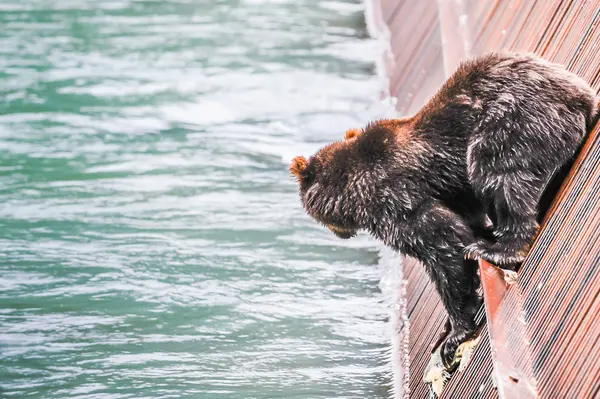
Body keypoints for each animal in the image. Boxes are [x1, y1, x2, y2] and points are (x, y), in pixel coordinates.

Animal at [288, 52, 596, 368]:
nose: (339, 233)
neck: (356, 190)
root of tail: (581, 95)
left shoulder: (397, 203)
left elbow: (444, 246)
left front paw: (454, 333)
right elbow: (467, 226)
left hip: (512, 120)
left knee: (498, 174)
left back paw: (500, 248)